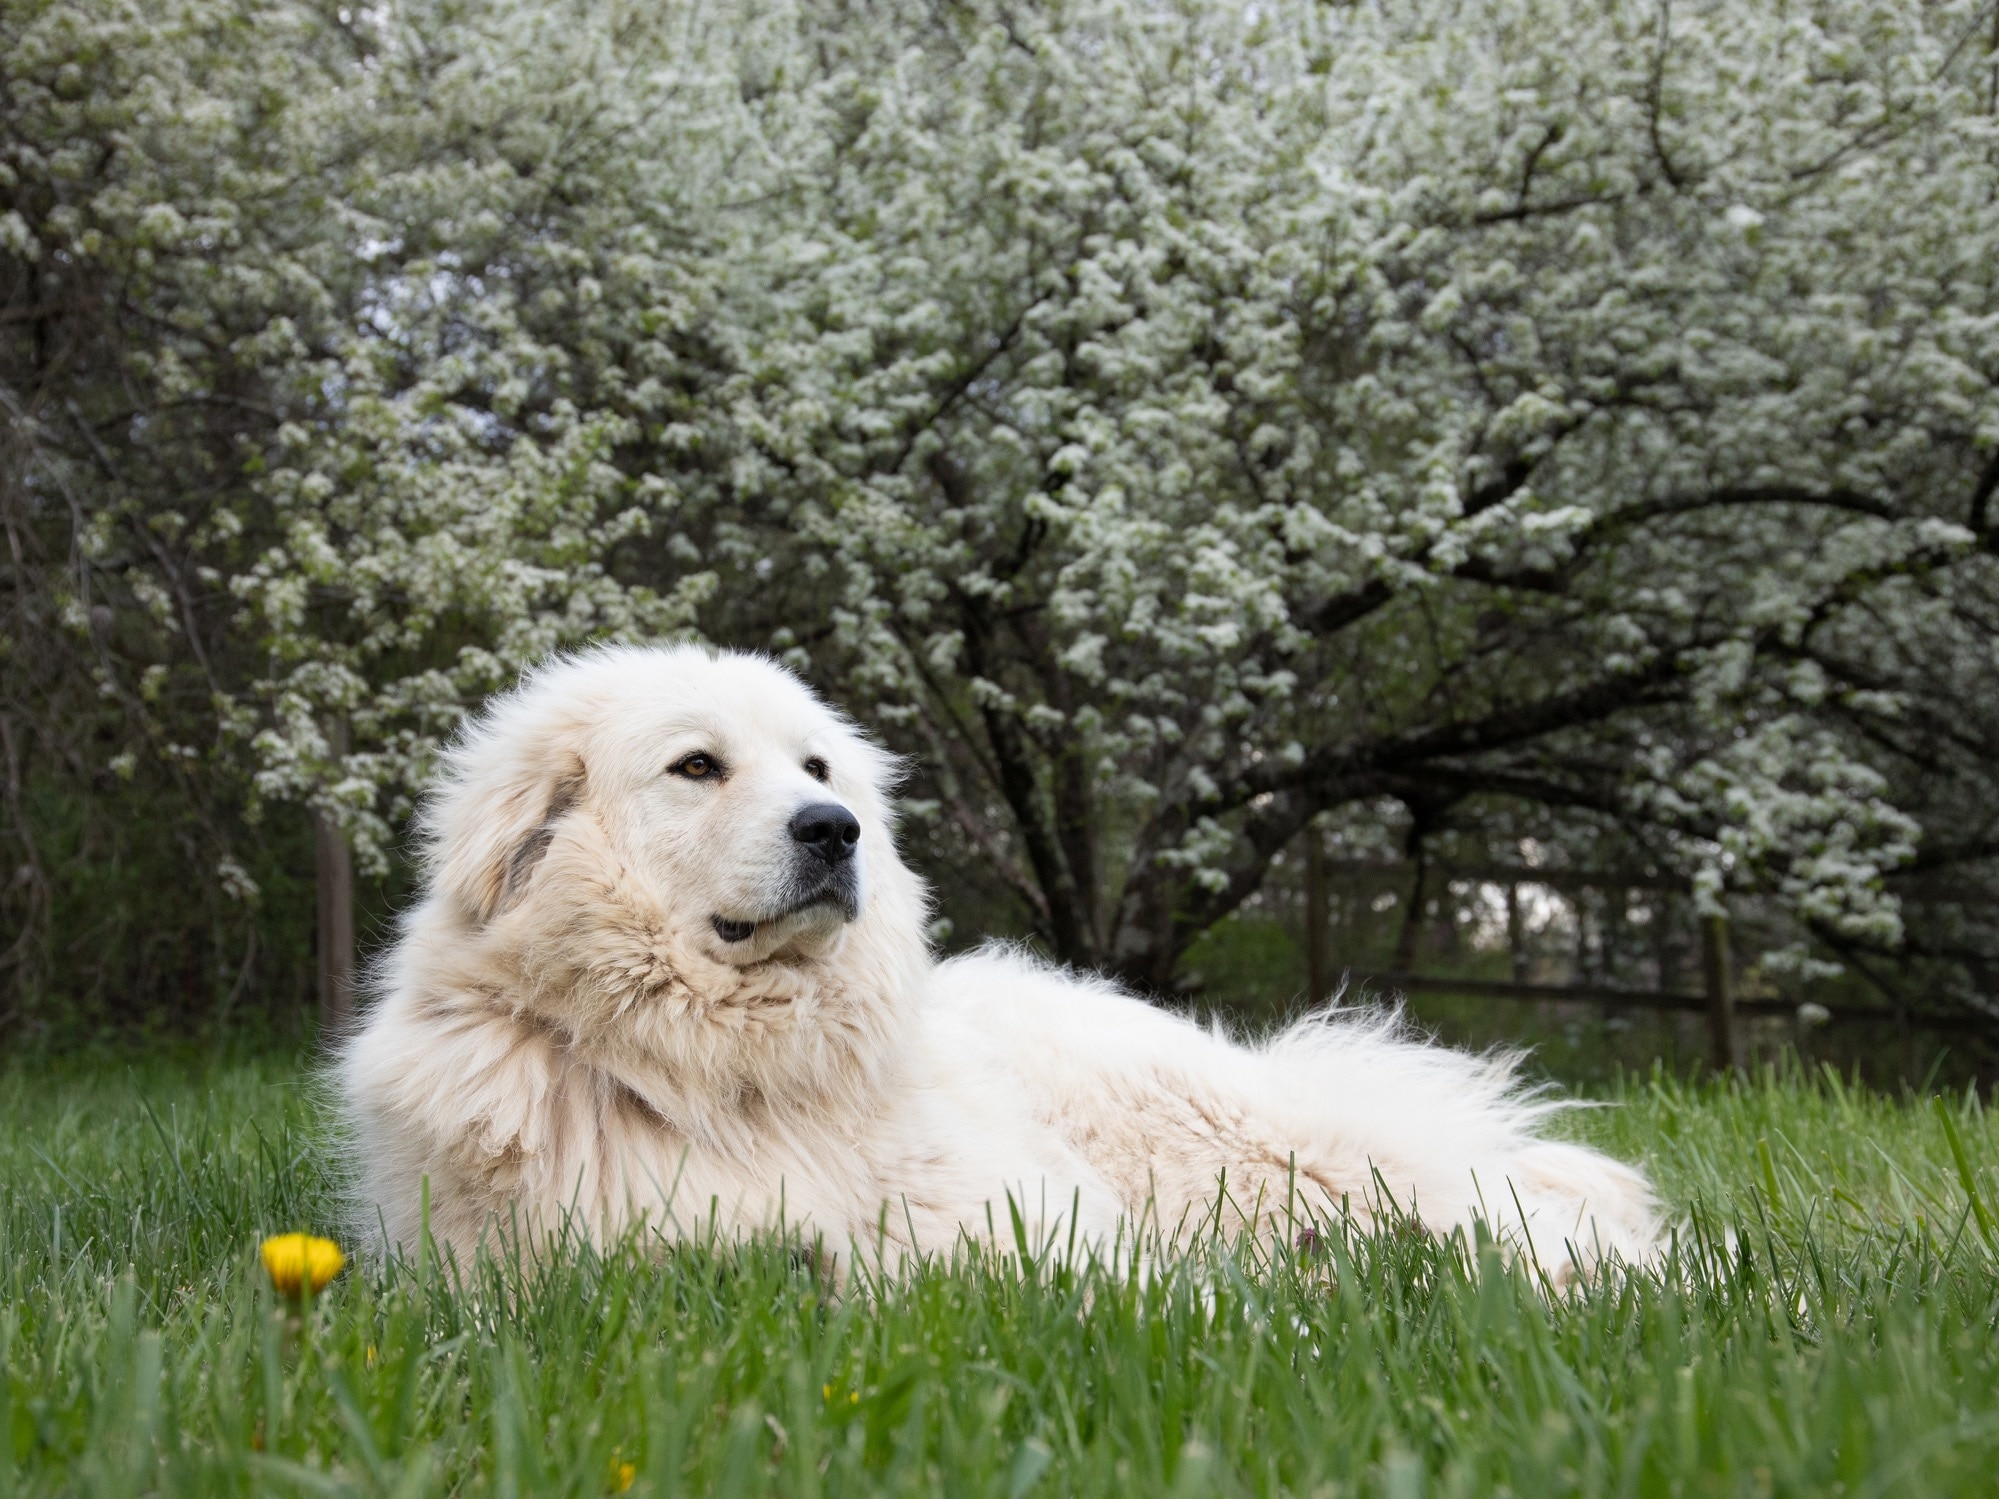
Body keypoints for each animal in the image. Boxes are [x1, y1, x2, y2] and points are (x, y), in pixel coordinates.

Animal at [339, 647, 1655, 1279]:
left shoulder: (1021, 1224)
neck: (729, 1073)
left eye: (816, 767)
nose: (835, 831)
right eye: (696, 766)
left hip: (1269, 1154)